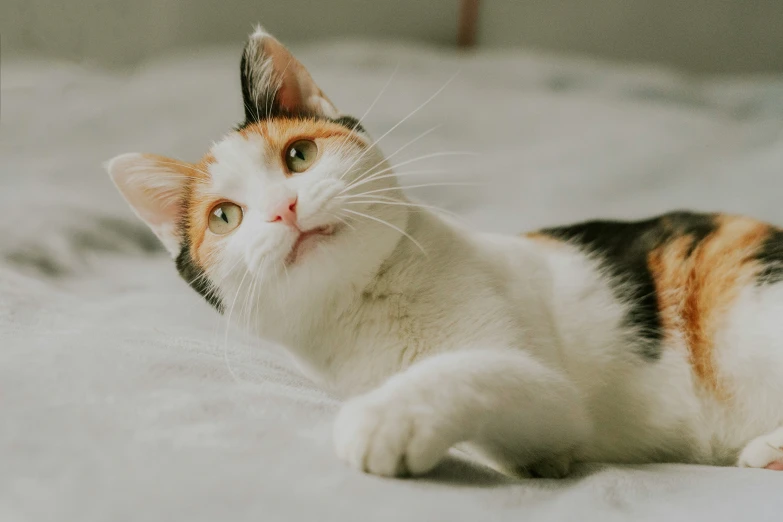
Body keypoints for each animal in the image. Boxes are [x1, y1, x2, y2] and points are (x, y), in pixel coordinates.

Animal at [105, 26, 783, 478]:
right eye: (226, 216)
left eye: (299, 155)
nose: (284, 209)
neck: (368, 304)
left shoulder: (550, 390)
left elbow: (471, 370)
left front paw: (388, 415)